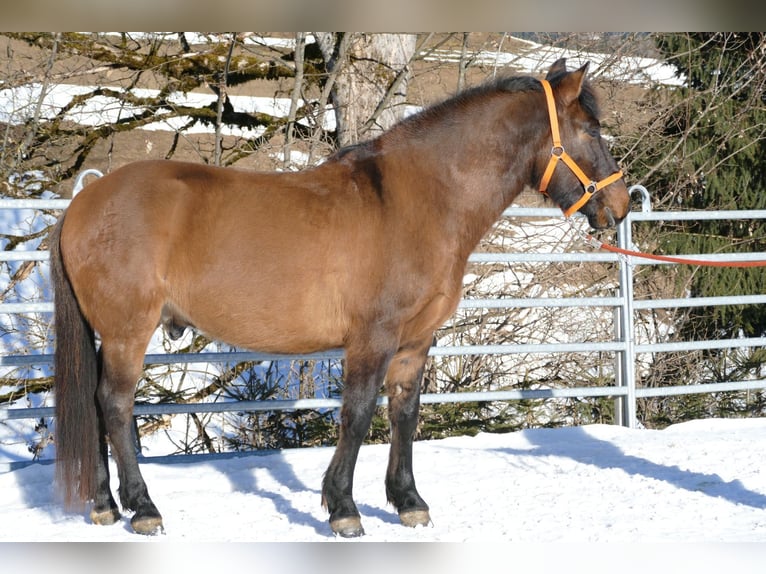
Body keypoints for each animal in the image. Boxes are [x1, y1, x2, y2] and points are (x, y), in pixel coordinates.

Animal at [48, 59, 632, 540]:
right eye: (591, 129)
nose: (621, 205)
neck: (420, 200)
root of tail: (82, 203)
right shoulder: (373, 339)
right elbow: (357, 413)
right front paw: (343, 509)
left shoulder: (414, 342)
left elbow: (404, 413)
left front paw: (408, 501)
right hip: (128, 331)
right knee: (115, 404)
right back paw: (143, 508)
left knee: (96, 404)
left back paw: (104, 505)